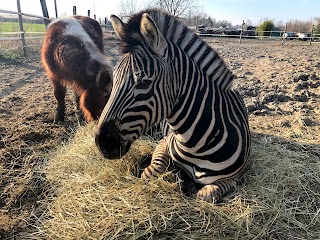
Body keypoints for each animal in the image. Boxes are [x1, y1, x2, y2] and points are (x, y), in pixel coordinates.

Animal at [94, 9, 251, 204]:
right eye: (114, 78)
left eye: (144, 83)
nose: (102, 143)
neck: (195, 143)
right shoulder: (163, 143)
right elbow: (151, 172)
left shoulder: (236, 177)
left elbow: (206, 195)